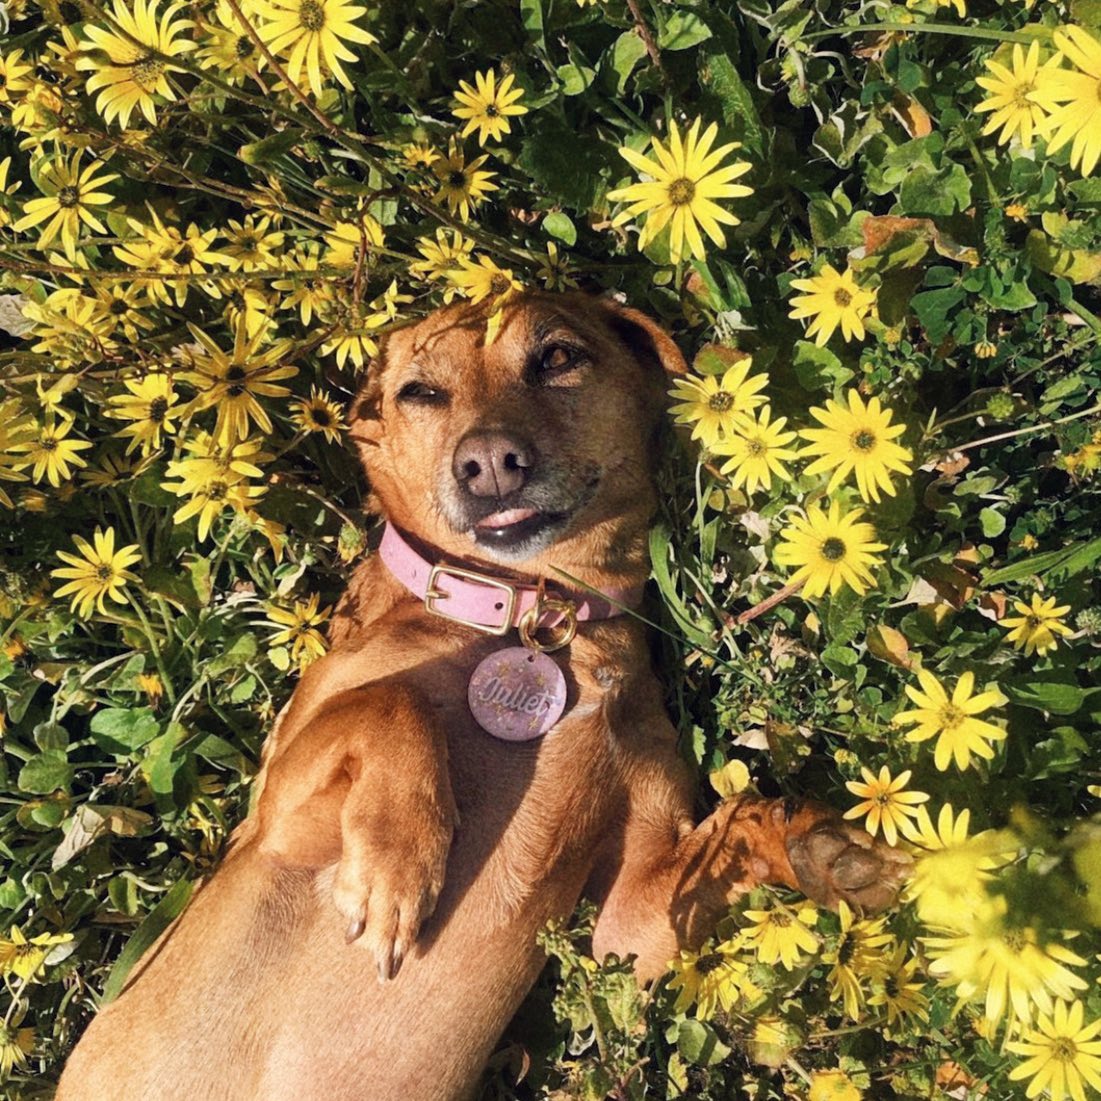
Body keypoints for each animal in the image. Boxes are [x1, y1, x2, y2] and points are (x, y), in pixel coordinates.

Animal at [55, 292, 907, 1101]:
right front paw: (400, 866)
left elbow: (733, 826)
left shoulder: (629, 925)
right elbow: (391, 705)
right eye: (420, 391)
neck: (534, 617)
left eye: (557, 356)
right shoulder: (277, 823)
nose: (490, 461)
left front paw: (824, 848)